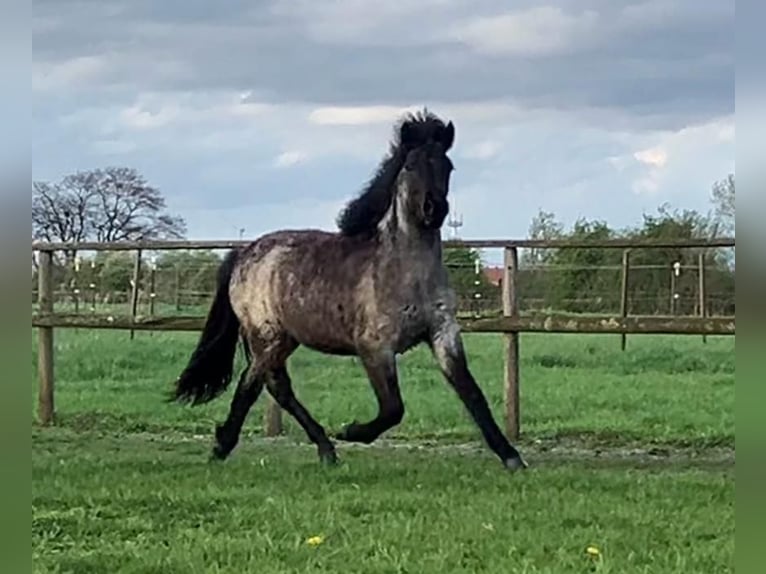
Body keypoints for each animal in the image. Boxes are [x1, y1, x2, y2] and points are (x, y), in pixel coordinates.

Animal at [171, 109, 528, 472]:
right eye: (410, 165)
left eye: (448, 166)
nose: (434, 209)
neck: (406, 273)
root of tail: (244, 253)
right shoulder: (374, 347)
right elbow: (393, 409)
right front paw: (352, 431)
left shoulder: (443, 334)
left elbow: (472, 394)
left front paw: (511, 457)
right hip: (266, 336)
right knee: (254, 385)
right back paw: (227, 447)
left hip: (285, 339)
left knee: (274, 386)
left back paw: (324, 449)